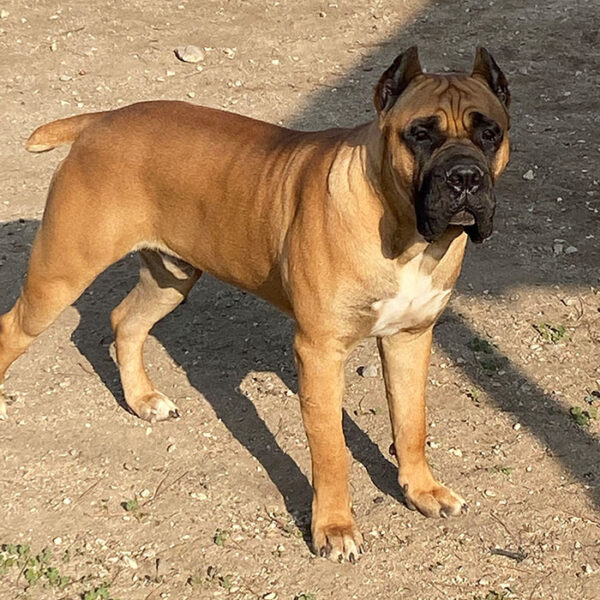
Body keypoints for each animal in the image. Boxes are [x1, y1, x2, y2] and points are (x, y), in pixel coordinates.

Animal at [0, 47, 510, 564]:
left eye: (490, 133)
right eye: (420, 134)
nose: (465, 177)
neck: (405, 232)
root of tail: (100, 120)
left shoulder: (410, 339)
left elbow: (411, 422)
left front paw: (422, 490)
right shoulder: (320, 352)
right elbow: (331, 448)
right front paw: (334, 527)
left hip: (172, 276)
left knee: (126, 321)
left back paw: (143, 400)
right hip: (59, 275)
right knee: (11, 329)